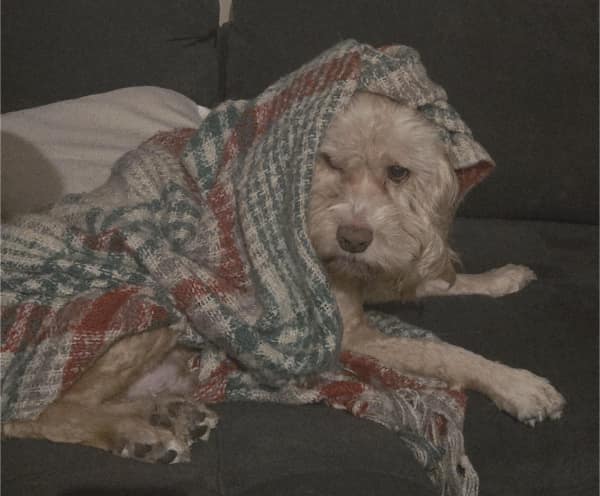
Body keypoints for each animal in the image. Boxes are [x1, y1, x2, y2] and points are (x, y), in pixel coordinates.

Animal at [2, 91, 565, 463]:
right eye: (329, 161)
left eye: (399, 172)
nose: (352, 238)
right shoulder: (348, 334)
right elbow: (446, 354)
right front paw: (518, 385)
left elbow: (436, 281)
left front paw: (500, 278)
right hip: (150, 302)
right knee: (38, 414)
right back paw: (139, 435)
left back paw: (171, 412)